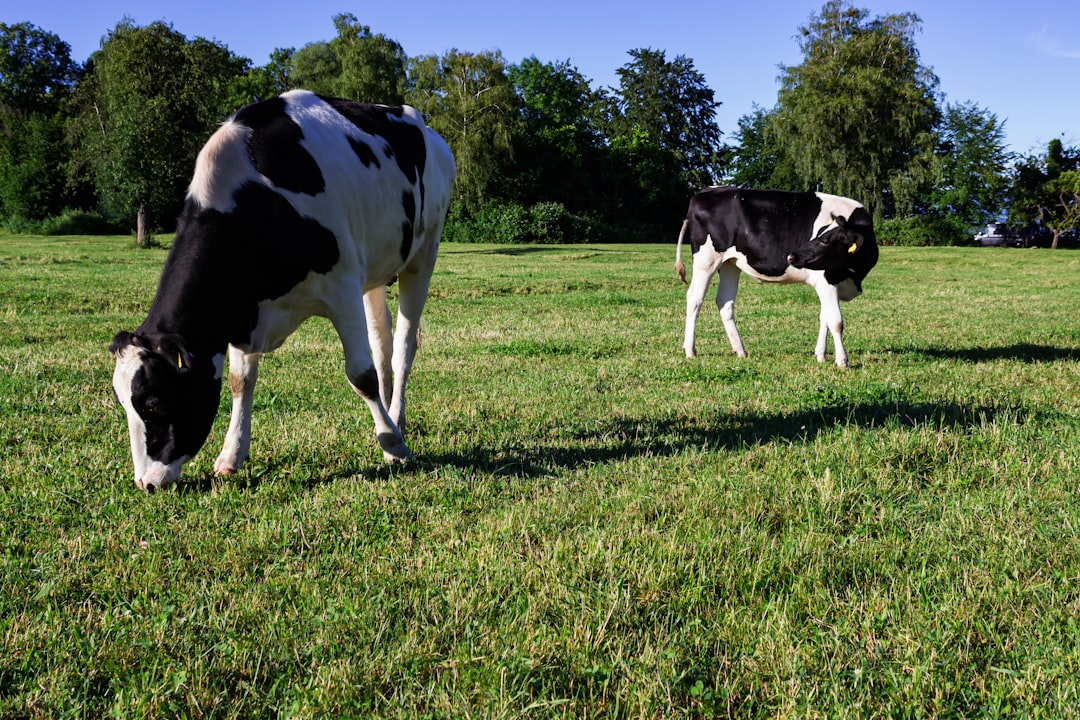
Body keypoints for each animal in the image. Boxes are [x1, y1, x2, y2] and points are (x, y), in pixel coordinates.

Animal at [112, 90, 455, 492]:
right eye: (123, 403)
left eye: (154, 404)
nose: (146, 483)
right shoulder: (243, 310)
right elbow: (240, 381)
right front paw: (231, 455)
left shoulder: (342, 287)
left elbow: (361, 375)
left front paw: (393, 447)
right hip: (375, 269)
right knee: (381, 341)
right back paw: (392, 417)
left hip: (423, 253)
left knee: (402, 347)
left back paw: (395, 421)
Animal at [673, 187, 876, 367]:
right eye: (820, 236)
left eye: (825, 240)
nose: (791, 256)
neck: (854, 277)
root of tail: (706, 191)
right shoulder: (826, 280)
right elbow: (836, 321)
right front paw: (842, 361)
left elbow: (824, 317)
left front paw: (821, 355)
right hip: (705, 260)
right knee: (694, 299)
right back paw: (690, 350)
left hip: (729, 263)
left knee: (725, 302)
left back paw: (740, 350)